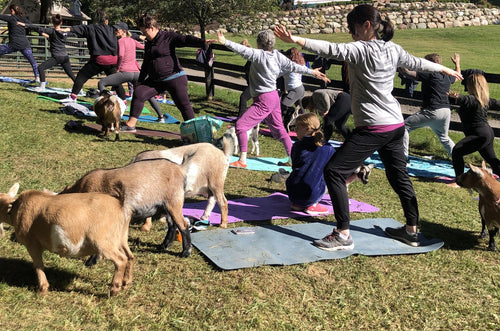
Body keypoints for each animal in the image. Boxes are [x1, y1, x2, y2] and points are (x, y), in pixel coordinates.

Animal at [0, 184, 134, 296]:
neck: (14, 208)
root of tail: (119, 205)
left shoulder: (32, 243)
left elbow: (38, 265)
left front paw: (42, 289)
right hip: (121, 236)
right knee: (129, 256)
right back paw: (126, 284)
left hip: (103, 240)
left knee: (121, 259)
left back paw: (114, 290)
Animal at [60, 158, 189, 256]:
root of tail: (180, 169)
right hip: (166, 206)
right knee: (172, 225)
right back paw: (164, 246)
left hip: (174, 201)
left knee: (183, 225)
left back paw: (185, 253)